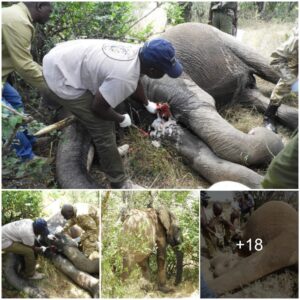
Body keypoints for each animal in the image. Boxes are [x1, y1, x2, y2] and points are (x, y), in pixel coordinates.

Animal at [55, 23, 296, 189]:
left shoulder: (165, 79)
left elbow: (202, 106)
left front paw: (266, 141)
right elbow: (187, 144)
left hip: (228, 39)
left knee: (272, 70)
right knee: (254, 96)